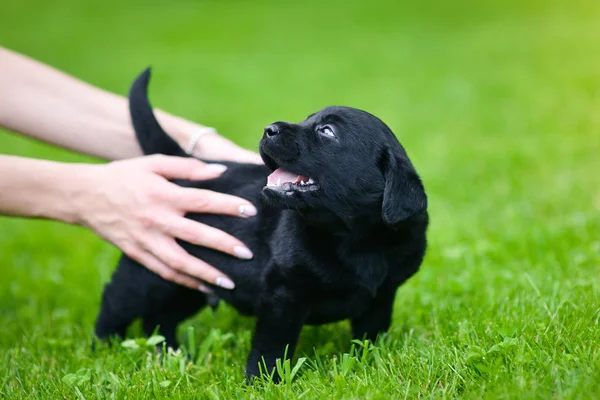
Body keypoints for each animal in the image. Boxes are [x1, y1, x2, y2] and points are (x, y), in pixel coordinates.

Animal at [96, 69, 428, 382]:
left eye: (327, 131)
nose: (269, 129)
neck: (353, 238)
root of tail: (188, 163)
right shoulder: (283, 293)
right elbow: (272, 345)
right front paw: (263, 380)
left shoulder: (382, 296)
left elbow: (371, 335)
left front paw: (371, 363)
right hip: (149, 269)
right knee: (116, 301)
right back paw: (103, 348)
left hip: (189, 279)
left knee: (160, 316)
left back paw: (171, 353)